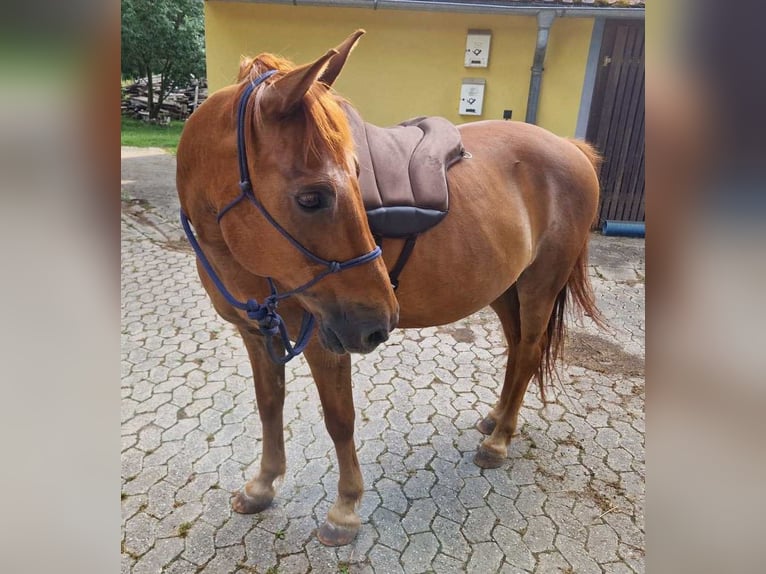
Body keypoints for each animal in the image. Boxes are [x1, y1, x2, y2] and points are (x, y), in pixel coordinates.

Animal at [176, 28, 608, 548]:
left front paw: (344, 511)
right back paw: (495, 418)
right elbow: (268, 405)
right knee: (517, 347)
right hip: (507, 287)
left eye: (357, 179)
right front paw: (262, 486)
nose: (380, 323)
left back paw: (499, 440)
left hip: (540, 283)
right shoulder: (257, 333)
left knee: (527, 352)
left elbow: (339, 419)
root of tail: (571, 148)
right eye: (311, 197)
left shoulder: (324, 340)